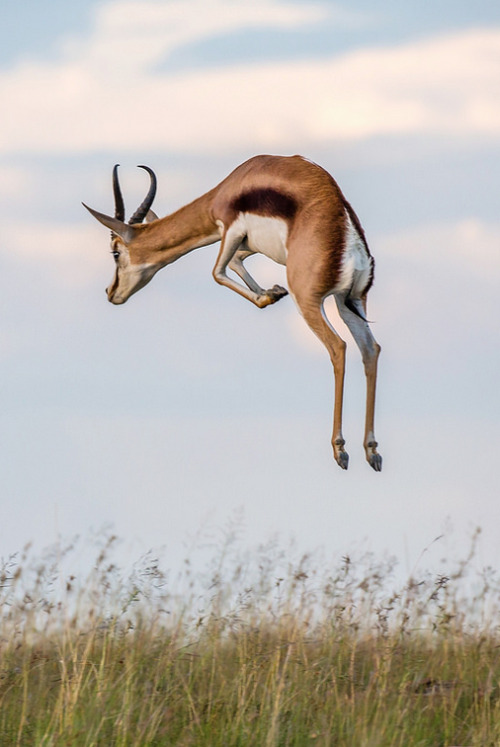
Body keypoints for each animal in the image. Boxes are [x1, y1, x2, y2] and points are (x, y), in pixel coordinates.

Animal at [85, 155, 382, 470]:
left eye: (115, 252)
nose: (111, 292)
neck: (230, 188)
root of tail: (349, 235)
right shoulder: (246, 245)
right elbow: (237, 263)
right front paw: (272, 292)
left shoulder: (229, 230)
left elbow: (217, 272)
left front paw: (267, 295)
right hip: (349, 302)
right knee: (370, 349)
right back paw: (372, 451)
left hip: (309, 301)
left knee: (338, 347)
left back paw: (341, 450)